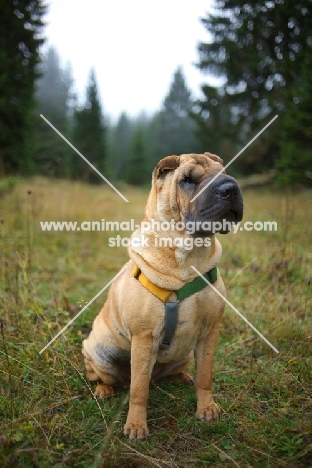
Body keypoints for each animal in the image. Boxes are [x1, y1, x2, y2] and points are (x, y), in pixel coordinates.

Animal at [83, 153, 244, 438]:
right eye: (187, 180)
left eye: (224, 173)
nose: (231, 188)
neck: (188, 259)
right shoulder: (144, 337)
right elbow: (139, 390)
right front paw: (136, 425)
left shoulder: (210, 331)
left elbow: (205, 376)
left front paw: (206, 408)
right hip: (98, 349)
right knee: (102, 375)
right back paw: (104, 389)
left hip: (182, 354)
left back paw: (181, 377)